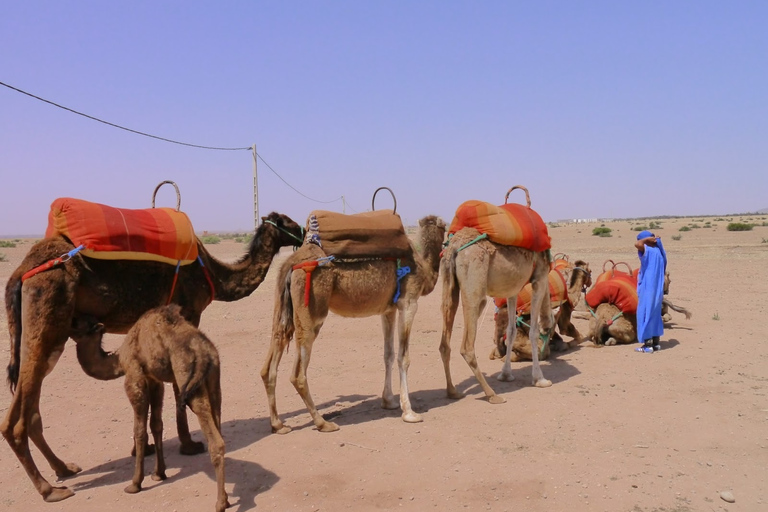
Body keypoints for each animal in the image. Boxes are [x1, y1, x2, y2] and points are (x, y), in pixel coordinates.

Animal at [71, 304, 228, 512]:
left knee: (214, 438)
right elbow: (156, 424)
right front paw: (159, 473)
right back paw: (226, 498)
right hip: (214, 380)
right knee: (217, 417)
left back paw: (220, 503)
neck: (119, 358)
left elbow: (139, 431)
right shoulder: (154, 379)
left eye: (79, 323)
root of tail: (204, 353)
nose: (69, 320)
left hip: (189, 380)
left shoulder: (134, 375)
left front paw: (134, 484)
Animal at [262, 214, 448, 434]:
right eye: (446, 227)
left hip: (283, 309)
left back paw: (278, 424)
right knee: (297, 373)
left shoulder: (388, 310)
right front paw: (409, 412)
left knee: (271, 358)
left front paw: (389, 401)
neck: (424, 269)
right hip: (311, 310)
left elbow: (388, 354)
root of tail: (290, 264)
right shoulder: (408, 302)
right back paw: (322, 423)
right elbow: (403, 357)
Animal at [438, 226, 560, 402]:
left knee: (444, 342)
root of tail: (454, 246)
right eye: (552, 329)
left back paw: (453, 392)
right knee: (467, 347)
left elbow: (511, 331)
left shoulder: (513, 290)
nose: (549, 347)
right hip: (474, 283)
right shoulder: (540, 278)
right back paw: (491, 394)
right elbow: (533, 332)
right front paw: (540, 379)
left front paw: (506, 374)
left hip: (448, 283)